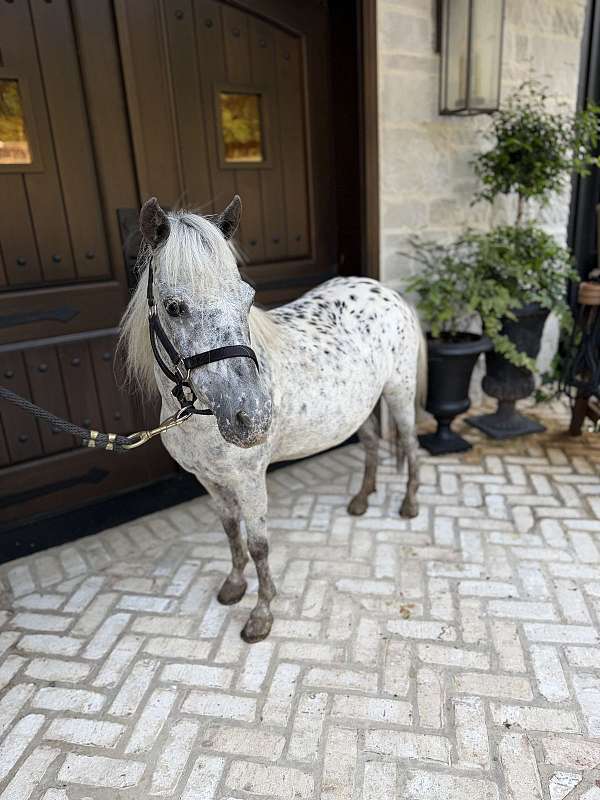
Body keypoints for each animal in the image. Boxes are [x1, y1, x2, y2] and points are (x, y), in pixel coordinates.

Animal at [119, 196, 426, 642]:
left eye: (248, 298)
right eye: (174, 308)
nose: (253, 415)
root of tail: (385, 292)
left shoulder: (249, 480)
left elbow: (259, 544)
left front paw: (261, 614)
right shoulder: (208, 480)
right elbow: (231, 532)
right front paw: (233, 587)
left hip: (399, 392)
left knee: (411, 446)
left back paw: (408, 505)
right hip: (358, 407)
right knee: (371, 444)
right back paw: (361, 500)